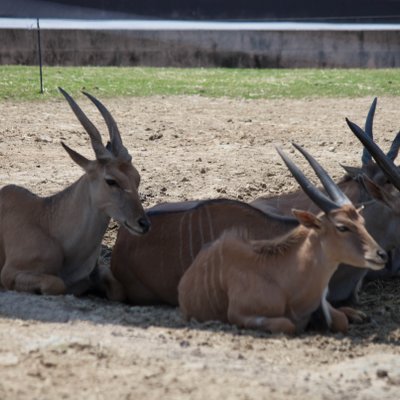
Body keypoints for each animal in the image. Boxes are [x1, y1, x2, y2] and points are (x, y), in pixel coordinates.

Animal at [0, 89, 150, 298]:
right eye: (111, 180)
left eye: (137, 178)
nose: (143, 224)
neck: (48, 222)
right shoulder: (9, 275)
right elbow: (57, 284)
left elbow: (118, 289)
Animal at [178, 144, 388, 334]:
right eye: (342, 227)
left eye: (361, 221)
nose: (381, 255)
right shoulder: (240, 316)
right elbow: (287, 325)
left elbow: (340, 320)